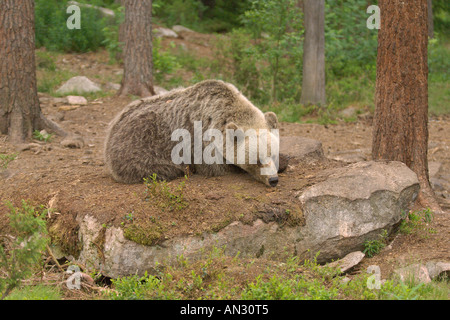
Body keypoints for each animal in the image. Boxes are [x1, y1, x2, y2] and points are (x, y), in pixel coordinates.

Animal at [106, 79, 282, 188]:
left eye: (273, 154)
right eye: (256, 160)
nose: (273, 180)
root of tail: (112, 126)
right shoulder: (201, 141)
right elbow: (218, 167)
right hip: (140, 147)